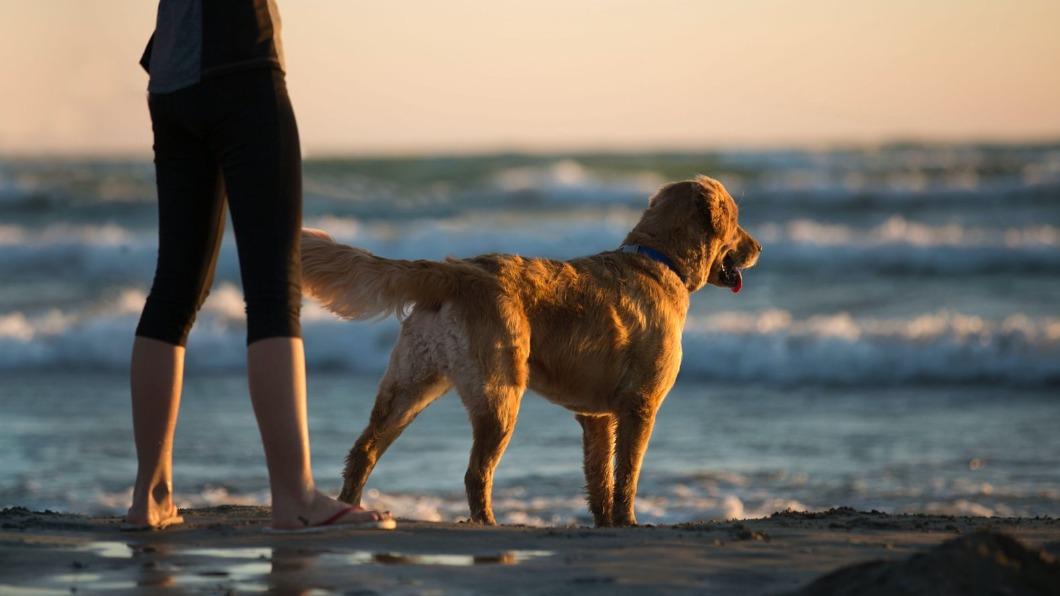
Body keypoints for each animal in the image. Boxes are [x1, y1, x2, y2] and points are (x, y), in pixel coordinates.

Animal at [303, 174, 758, 523]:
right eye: (737, 220)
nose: (759, 248)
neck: (659, 260)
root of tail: (456, 271)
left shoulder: (596, 416)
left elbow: (600, 477)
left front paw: (605, 523)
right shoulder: (640, 405)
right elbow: (627, 475)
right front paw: (628, 521)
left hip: (410, 385)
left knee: (364, 450)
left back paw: (350, 508)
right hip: (499, 393)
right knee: (475, 473)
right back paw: (487, 523)